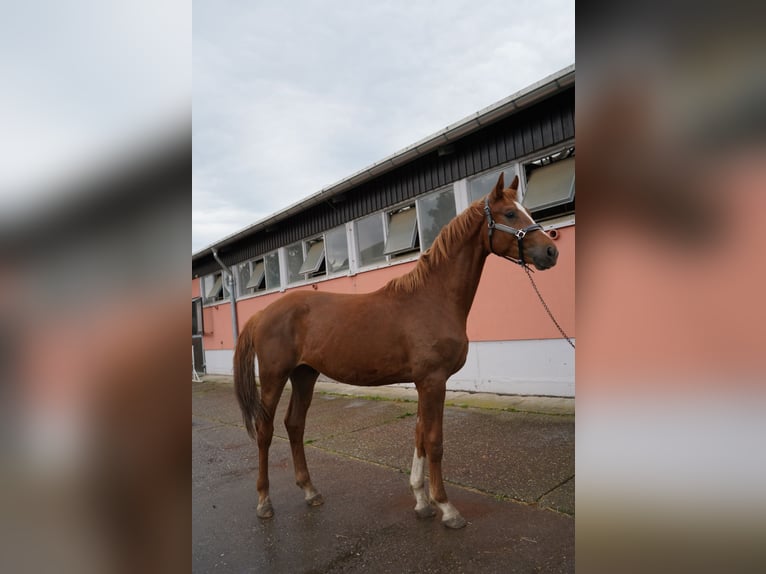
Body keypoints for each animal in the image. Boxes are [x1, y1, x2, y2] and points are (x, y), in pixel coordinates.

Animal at [234, 172, 560, 532]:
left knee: (295, 424)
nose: (551, 251)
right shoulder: (433, 381)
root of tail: (261, 313)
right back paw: (264, 502)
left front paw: (422, 502)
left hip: (304, 374)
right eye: (510, 214)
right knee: (265, 430)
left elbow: (419, 436)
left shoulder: (423, 383)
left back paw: (310, 490)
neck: (432, 299)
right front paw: (446, 507)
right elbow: (434, 441)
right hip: (274, 376)